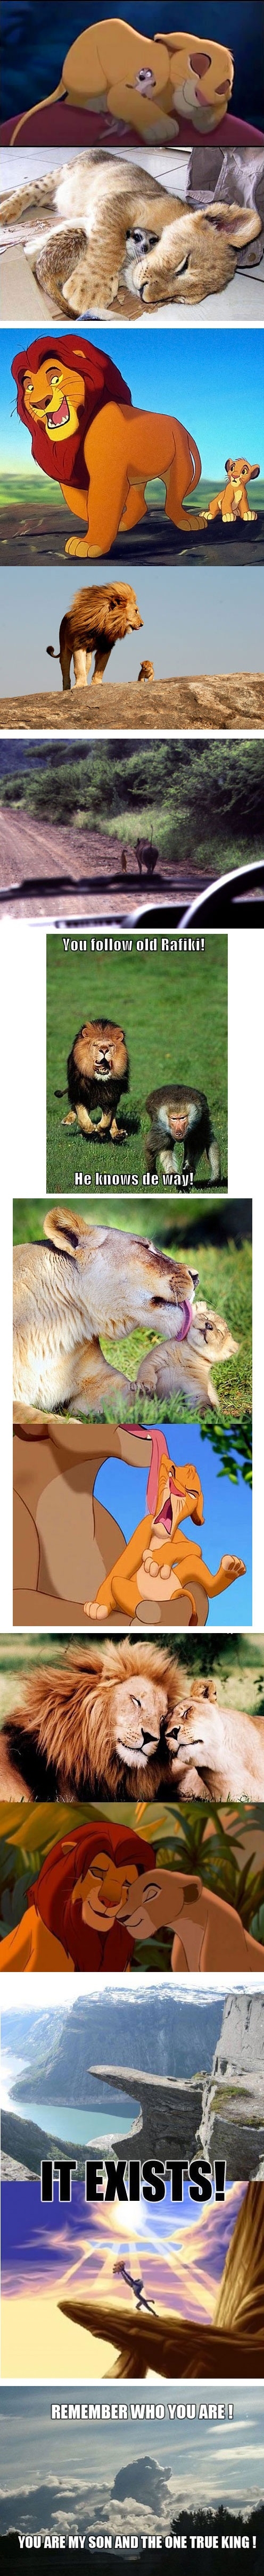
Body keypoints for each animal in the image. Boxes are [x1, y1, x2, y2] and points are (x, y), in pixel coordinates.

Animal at [11, 332, 202, 560]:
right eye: (30, 387)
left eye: (55, 378)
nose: (40, 403)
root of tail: (181, 426)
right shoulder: (71, 476)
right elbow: (82, 506)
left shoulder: (107, 473)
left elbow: (100, 504)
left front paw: (91, 544)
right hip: (138, 476)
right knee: (140, 504)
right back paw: (124, 523)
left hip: (180, 463)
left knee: (173, 499)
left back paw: (187, 520)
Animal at [46, 580, 143, 689]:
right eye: (136, 611)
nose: (142, 624)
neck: (104, 625)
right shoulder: (79, 644)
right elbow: (79, 668)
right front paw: (80, 685)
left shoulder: (106, 647)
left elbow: (100, 668)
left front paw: (96, 684)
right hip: (64, 649)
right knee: (65, 669)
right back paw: (67, 689)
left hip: (88, 656)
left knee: (87, 667)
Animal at [55, 1018, 129, 1141]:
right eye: (95, 1045)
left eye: (111, 1045)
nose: (104, 1050)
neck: (98, 1081)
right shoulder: (80, 1092)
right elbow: (83, 1119)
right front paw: (91, 1129)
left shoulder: (111, 1095)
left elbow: (107, 1120)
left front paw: (99, 1130)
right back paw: (69, 1120)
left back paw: (118, 1134)